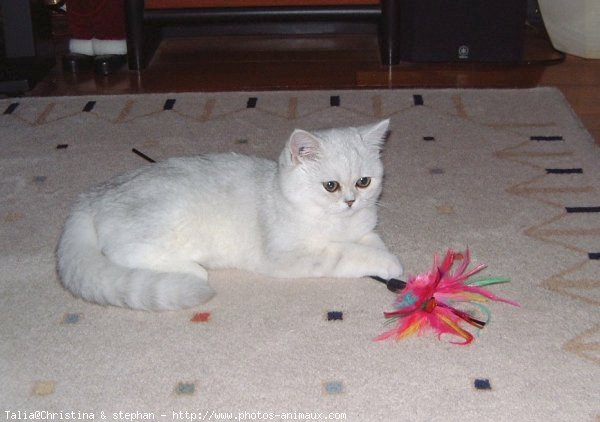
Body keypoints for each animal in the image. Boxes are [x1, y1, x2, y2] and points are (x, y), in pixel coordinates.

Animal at [57, 119, 404, 310]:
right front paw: (390, 265)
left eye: (364, 181)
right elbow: (346, 253)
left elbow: (370, 241)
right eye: (330, 186)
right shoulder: (290, 255)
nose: (350, 201)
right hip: (162, 227)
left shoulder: (364, 229)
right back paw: (191, 270)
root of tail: (92, 196)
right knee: (124, 253)